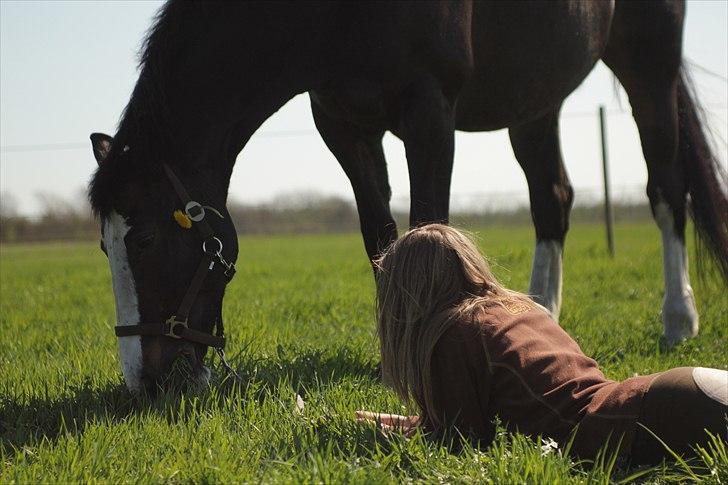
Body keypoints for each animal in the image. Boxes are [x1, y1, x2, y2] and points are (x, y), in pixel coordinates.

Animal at [89, 0, 724, 394]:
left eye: (144, 239)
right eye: (103, 246)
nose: (144, 382)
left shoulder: (429, 112)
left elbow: (428, 226)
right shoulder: (344, 126)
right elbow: (380, 237)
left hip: (648, 65)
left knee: (667, 189)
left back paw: (678, 318)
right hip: (533, 97)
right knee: (553, 200)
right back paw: (539, 313)